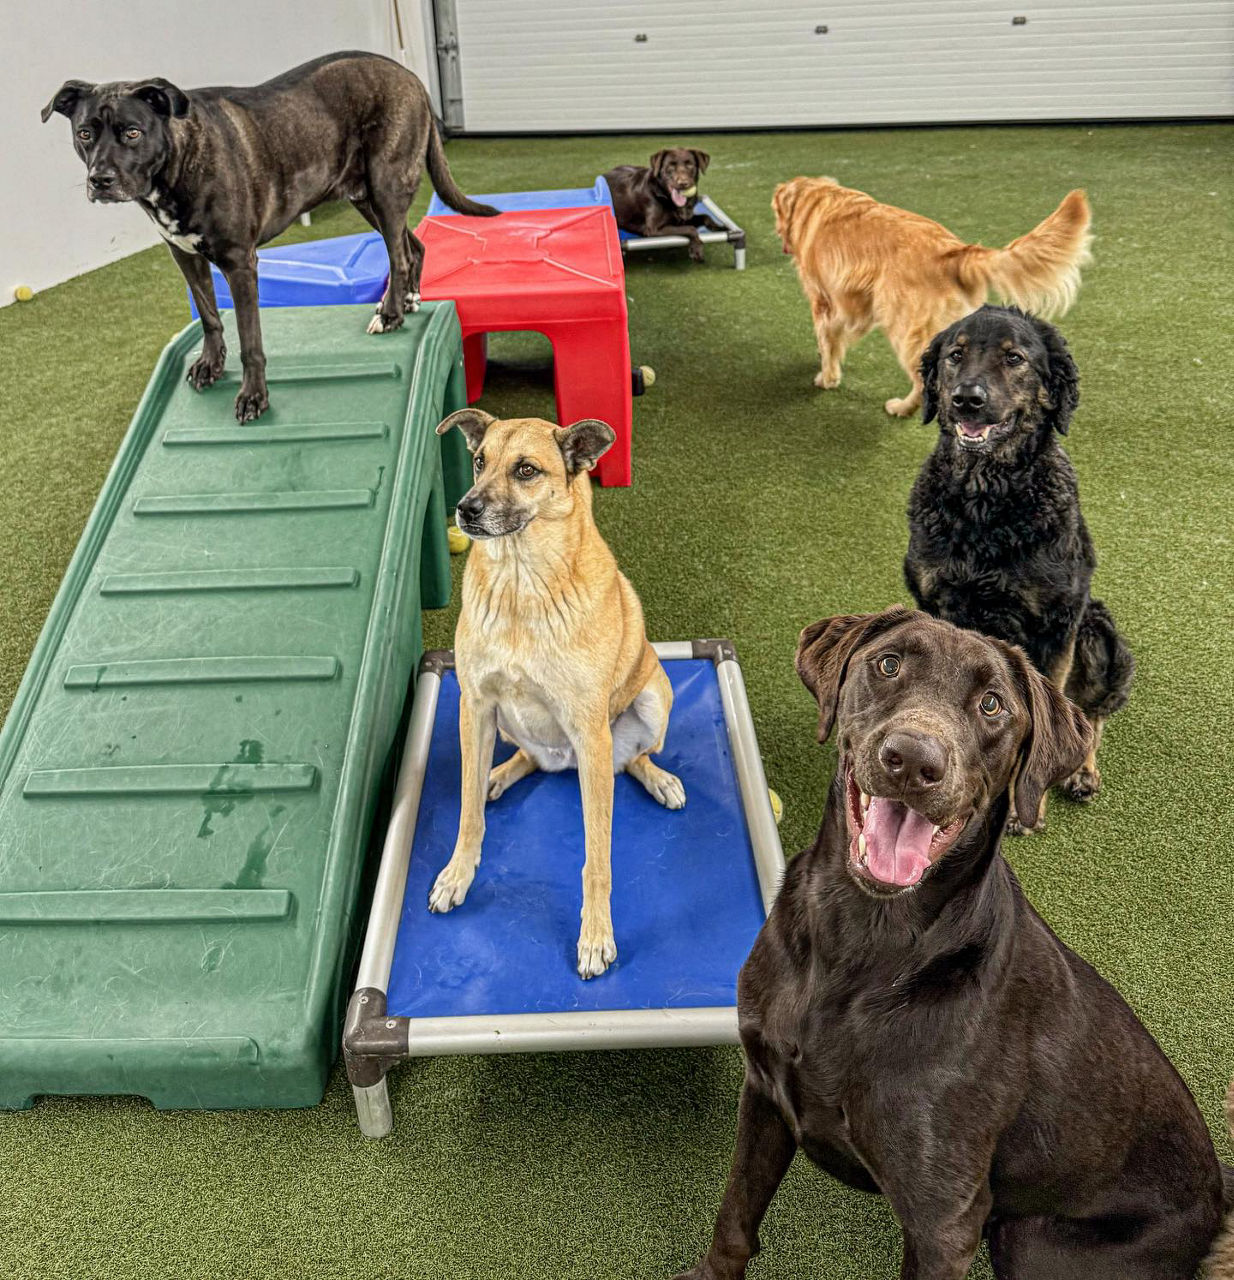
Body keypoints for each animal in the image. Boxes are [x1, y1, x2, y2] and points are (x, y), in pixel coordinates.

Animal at [43, 52, 496, 422]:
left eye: (132, 132)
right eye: (85, 134)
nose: (100, 180)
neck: (177, 163)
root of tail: (409, 75)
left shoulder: (239, 263)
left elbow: (250, 341)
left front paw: (253, 397)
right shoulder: (185, 255)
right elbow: (209, 317)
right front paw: (210, 364)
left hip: (385, 187)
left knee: (399, 255)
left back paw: (389, 314)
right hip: (365, 197)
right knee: (412, 245)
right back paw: (409, 300)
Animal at [427, 409, 681, 977]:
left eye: (526, 470)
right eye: (479, 461)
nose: (465, 510)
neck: (521, 582)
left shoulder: (589, 729)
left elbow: (597, 857)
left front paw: (595, 934)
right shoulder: (474, 705)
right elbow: (467, 813)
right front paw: (458, 873)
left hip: (653, 698)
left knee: (635, 758)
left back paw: (660, 779)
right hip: (503, 724)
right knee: (523, 758)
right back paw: (497, 775)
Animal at [773, 177, 1090, 417]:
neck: (816, 200)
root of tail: (954, 253)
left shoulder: (824, 301)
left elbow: (827, 341)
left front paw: (826, 378)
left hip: (907, 331)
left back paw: (904, 408)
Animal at [901, 305, 1131, 834]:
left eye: (1014, 358)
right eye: (955, 354)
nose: (967, 399)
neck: (987, 505)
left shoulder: (1054, 626)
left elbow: (1049, 726)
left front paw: (1024, 808)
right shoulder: (938, 606)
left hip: (1097, 633)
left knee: (1091, 715)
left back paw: (1083, 771)